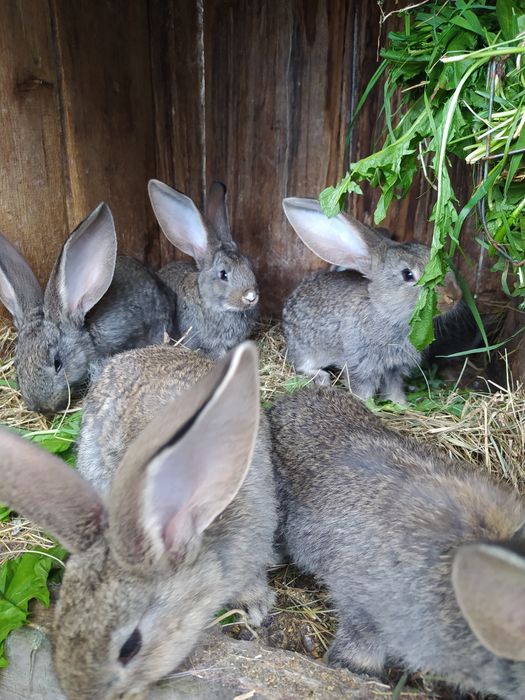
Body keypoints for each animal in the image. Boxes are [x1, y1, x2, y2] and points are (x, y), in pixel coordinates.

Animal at [280, 197, 460, 404]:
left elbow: (394, 389)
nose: (454, 295)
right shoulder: (361, 365)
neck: (385, 312)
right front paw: (366, 405)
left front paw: (401, 405)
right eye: (407, 275)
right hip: (307, 350)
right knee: (303, 365)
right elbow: (362, 389)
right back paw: (322, 377)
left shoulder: (394, 369)